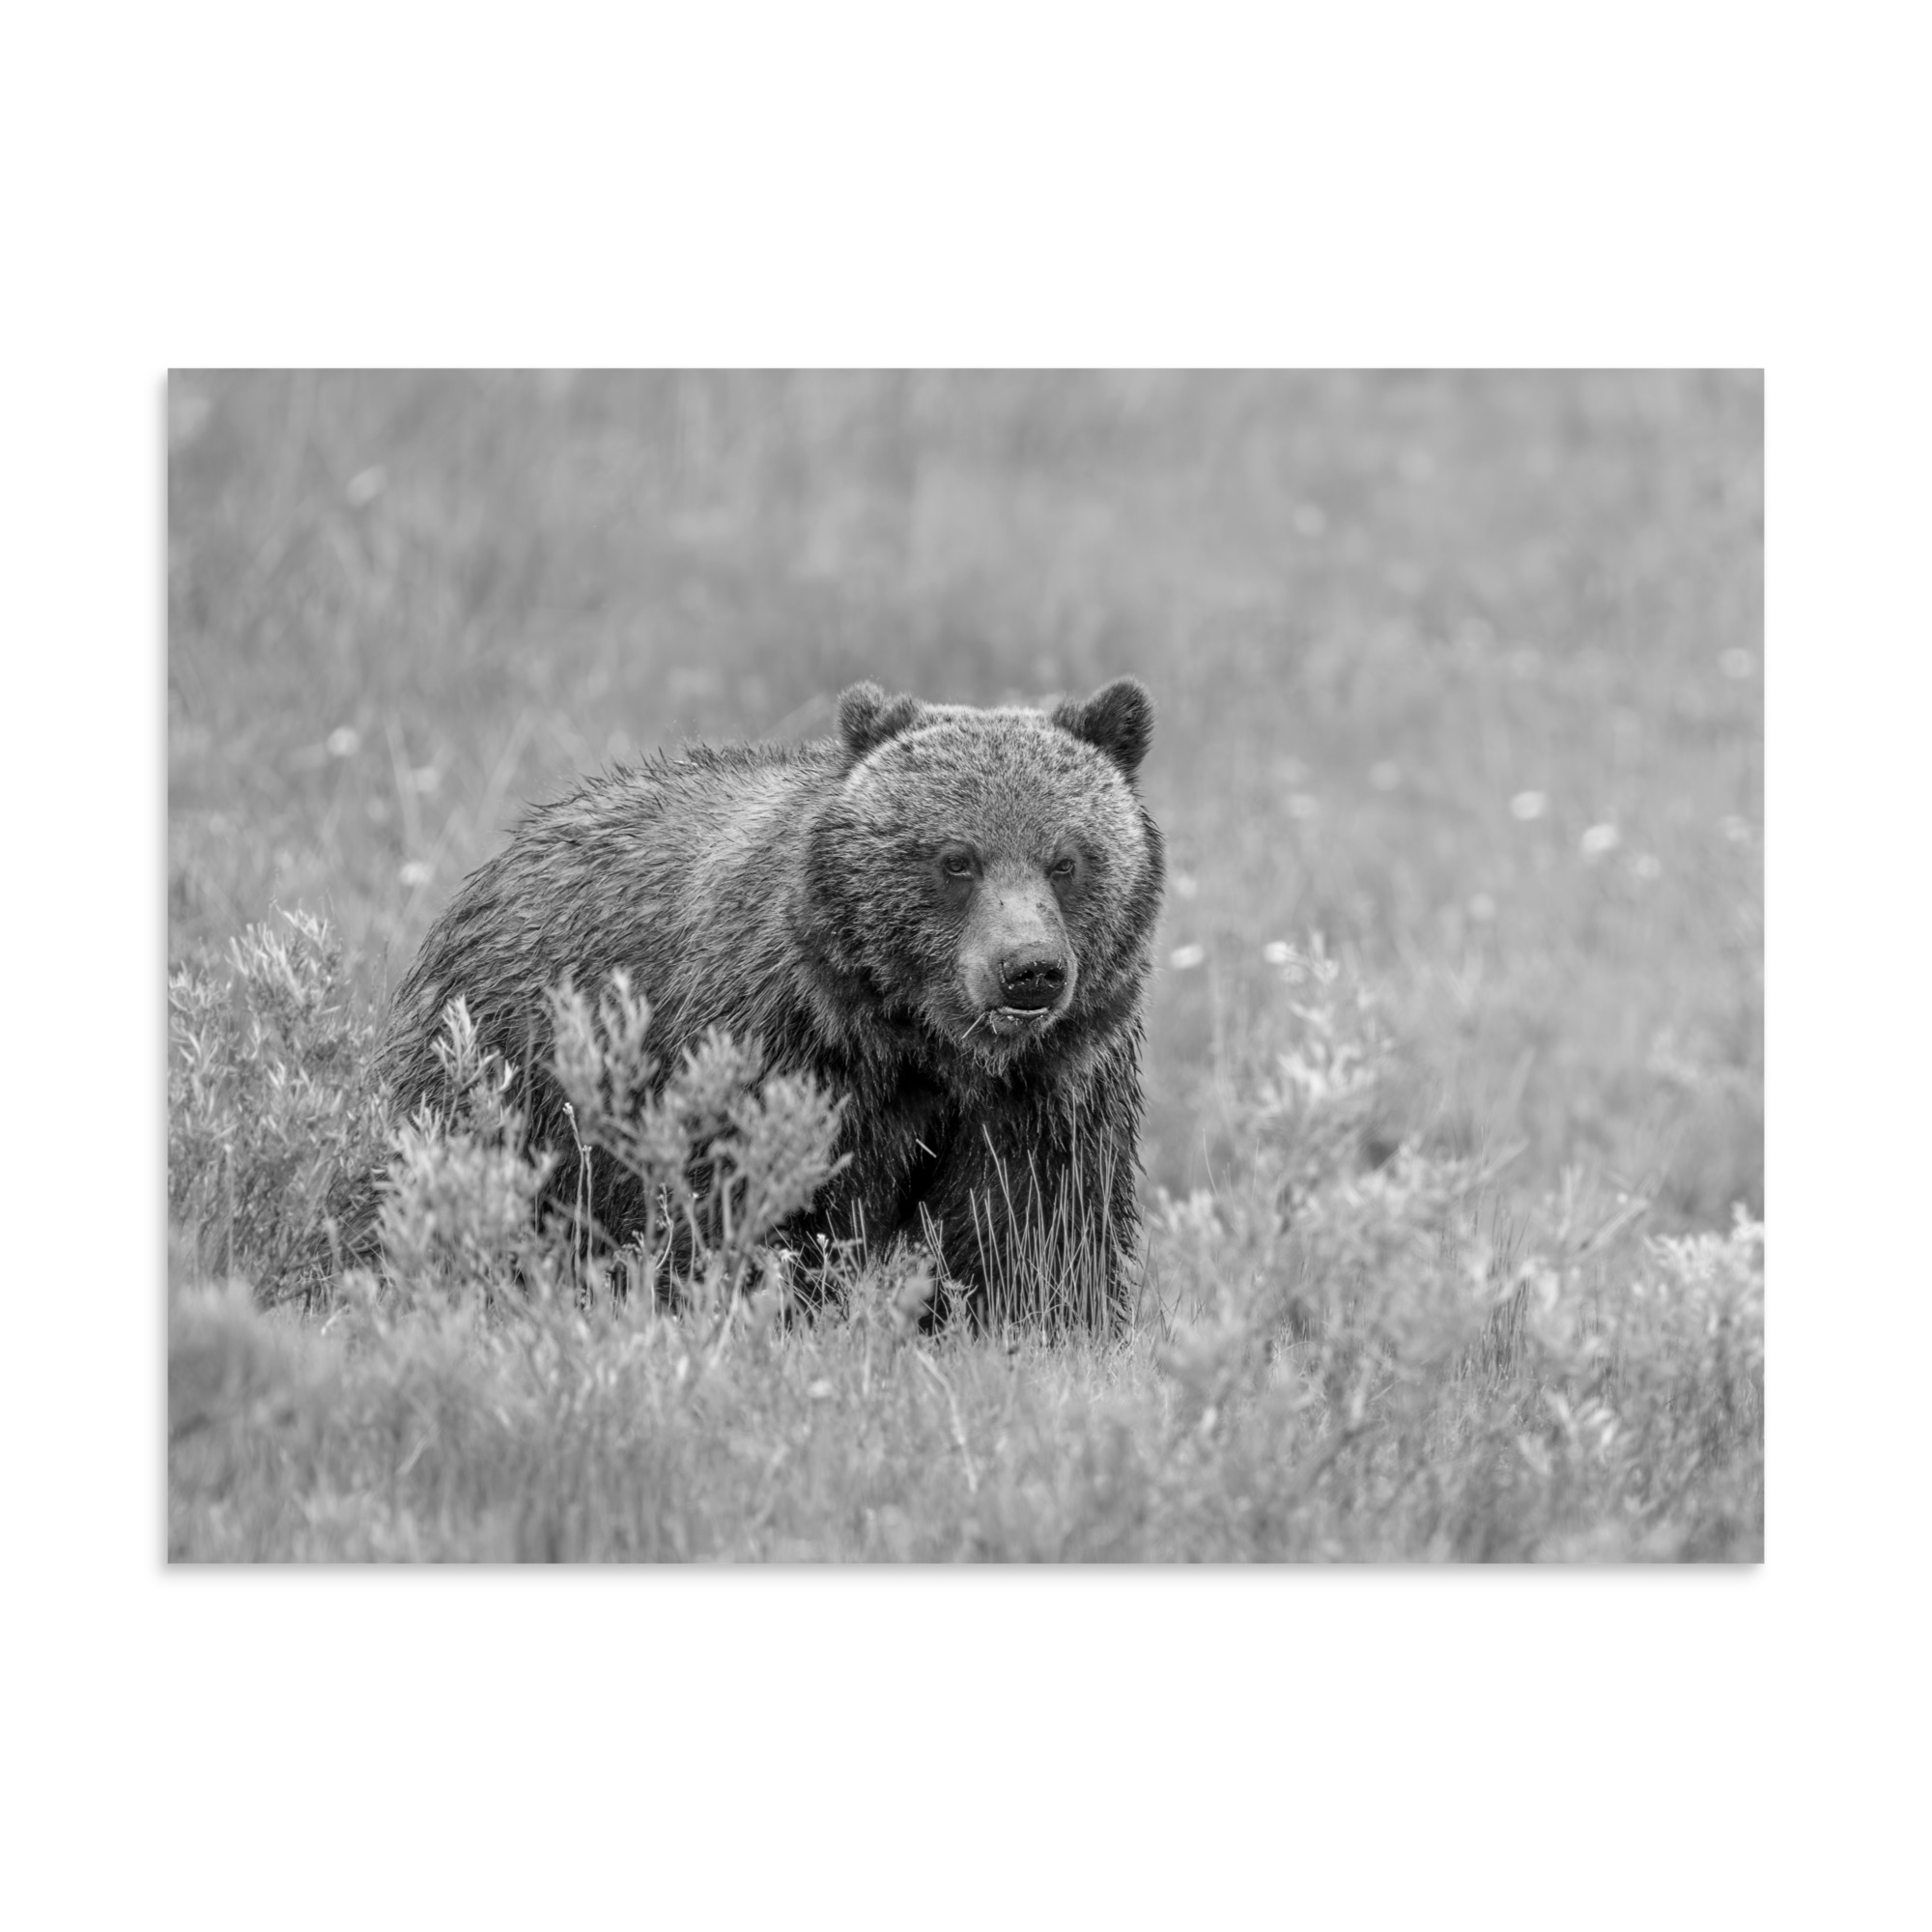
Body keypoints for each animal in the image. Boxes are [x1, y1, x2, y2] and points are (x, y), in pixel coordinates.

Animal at [375, 677, 1165, 1326]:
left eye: (1066, 860)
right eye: (956, 859)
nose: (1029, 970)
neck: (923, 1045)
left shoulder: (1051, 1088)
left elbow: (1037, 1232)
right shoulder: (781, 1049)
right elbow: (755, 1207)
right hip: (510, 1066)